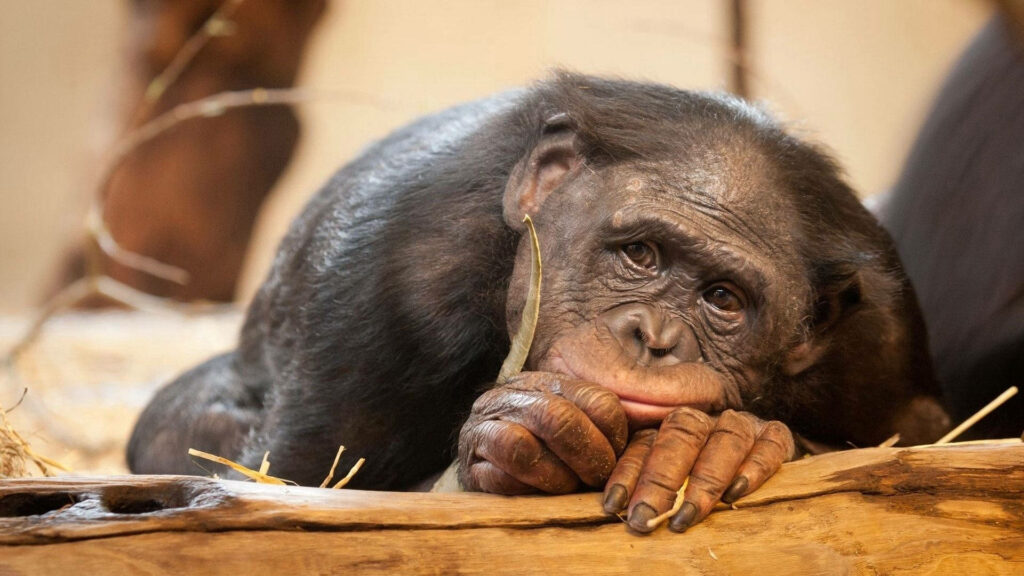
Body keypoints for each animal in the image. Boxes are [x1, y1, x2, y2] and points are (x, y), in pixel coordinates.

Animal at [128, 72, 950, 534]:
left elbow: (919, 442)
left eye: (723, 298)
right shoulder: (380, 282)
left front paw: (722, 442)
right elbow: (291, 482)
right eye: (640, 255)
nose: (654, 335)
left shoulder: (879, 345)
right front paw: (526, 427)